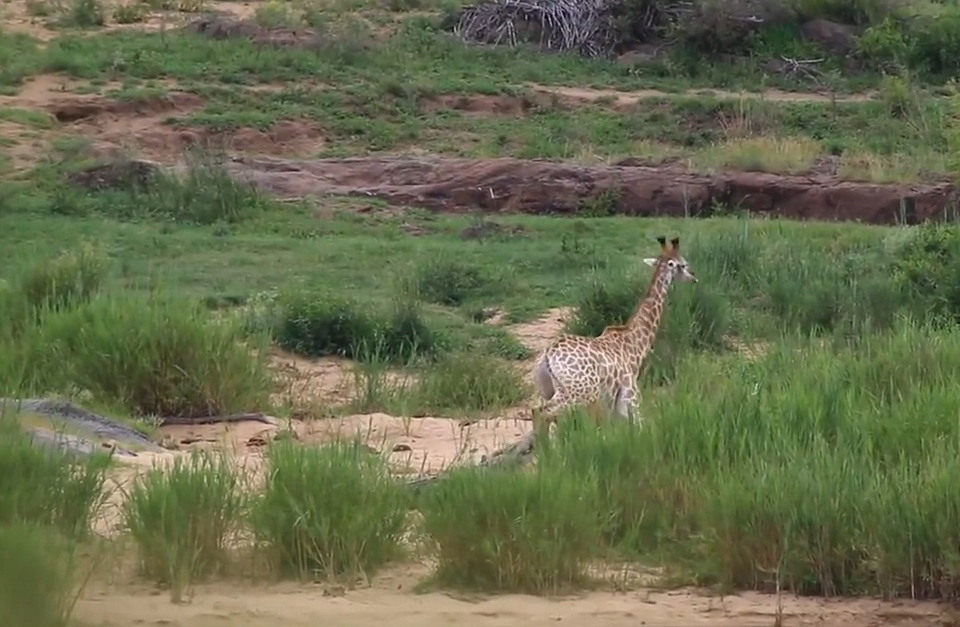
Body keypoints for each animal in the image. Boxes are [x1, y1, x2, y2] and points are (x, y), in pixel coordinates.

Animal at [532, 236, 696, 422]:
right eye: (683, 264)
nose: (693, 277)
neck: (635, 344)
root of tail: (548, 355)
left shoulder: (614, 404)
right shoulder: (630, 397)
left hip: (549, 390)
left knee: (538, 412)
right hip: (580, 392)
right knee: (544, 413)